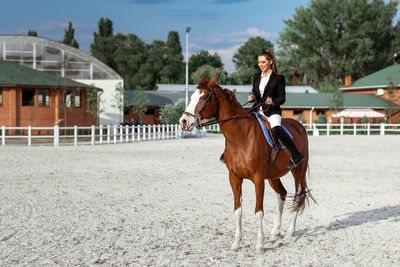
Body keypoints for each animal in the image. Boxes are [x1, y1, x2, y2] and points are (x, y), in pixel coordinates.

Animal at [180, 75, 314, 253]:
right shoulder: (234, 178)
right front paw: (237, 242)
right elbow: (238, 210)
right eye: (192, 96)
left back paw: (289, 232)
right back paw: (275, 232)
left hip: (298, 170)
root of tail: (299, 126)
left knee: (298, 196)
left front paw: (259, 245)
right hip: (273, 176)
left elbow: (258, 211)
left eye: (203, 97)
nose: (183, 121)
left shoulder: (258, 179)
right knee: (282, 194)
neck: (241, 137)